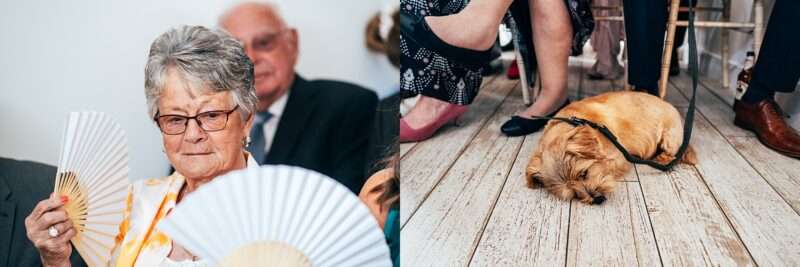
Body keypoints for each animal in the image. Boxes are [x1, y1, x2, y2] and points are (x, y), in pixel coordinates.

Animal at [524, 91, 692, 205]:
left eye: (584, 173)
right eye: (574, 194)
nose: (597, 199)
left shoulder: (620, 156)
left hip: (669, 135)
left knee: (672, 153)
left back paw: (662, 158)